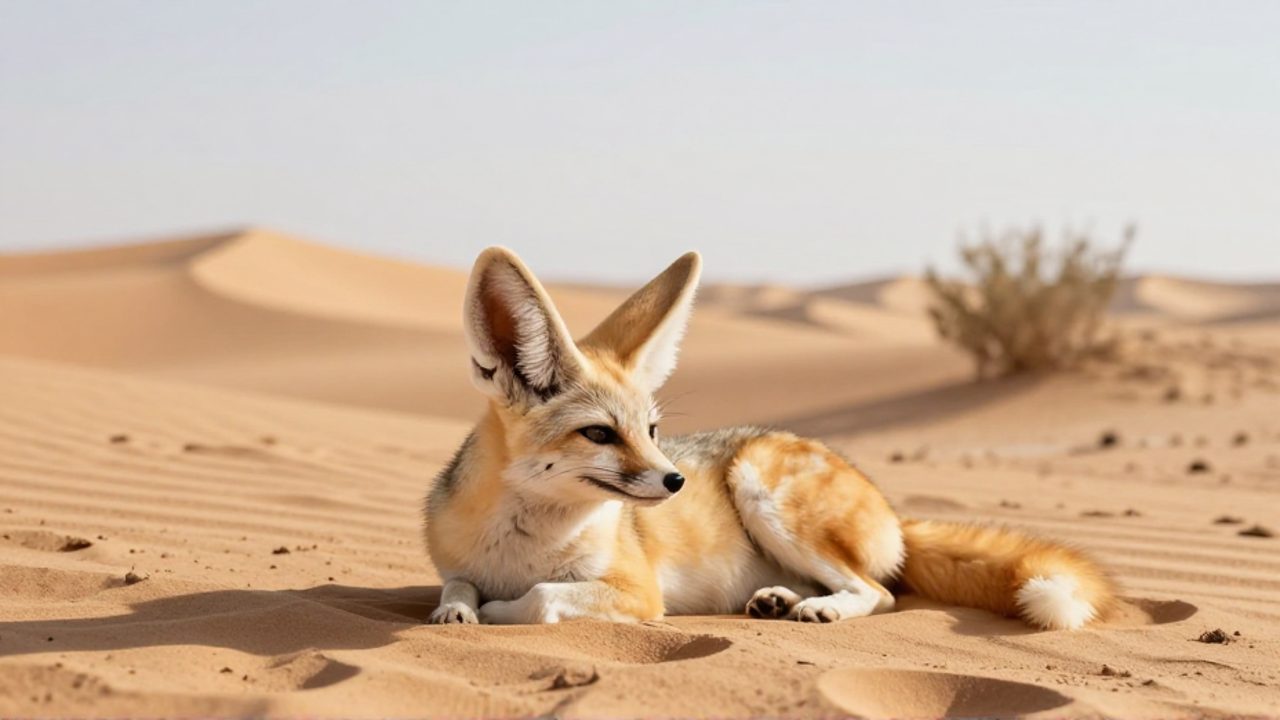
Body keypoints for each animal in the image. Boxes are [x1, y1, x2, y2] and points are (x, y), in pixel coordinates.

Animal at [423, 247, 1115, 629]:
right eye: (599, 433)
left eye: (652, 429)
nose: (676, 480)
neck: (522, 545)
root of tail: (892, 510)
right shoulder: (456, 563)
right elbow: (457, 587)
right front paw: (456, 610)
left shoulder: (638, 591)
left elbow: (540, 598)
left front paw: (493, 613)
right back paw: (781, 600)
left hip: (762, 487)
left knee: (879, 592)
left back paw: (821, 609)